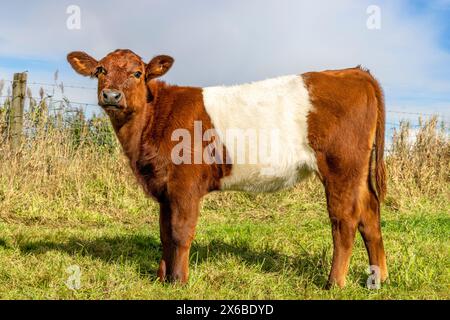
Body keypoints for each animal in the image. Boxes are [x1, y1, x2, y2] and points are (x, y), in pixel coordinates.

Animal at [68, 48, 388, 288]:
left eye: (137, 73)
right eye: (100, 70)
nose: (111, 96)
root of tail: (353, 72)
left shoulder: (184, 184)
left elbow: (180, 232)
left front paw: (179, 280)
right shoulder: (165, 189)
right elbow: (164, 232)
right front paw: (162, 278)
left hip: (340, 166)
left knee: (345, 219)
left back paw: (334, 282)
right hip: (357, 172)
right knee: (370, 213)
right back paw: (378, 277)